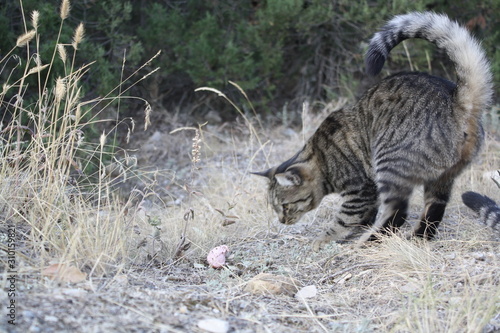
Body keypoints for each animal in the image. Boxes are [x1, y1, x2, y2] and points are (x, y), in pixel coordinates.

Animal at [254, 11, 492, 248]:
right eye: (276, 208)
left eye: (284, 206)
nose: (282, 220)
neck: (321, 158)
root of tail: (457, 102)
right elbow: (365, 215)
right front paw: (358, 228)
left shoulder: (361, 189)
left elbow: (344, 219)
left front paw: (324, 239)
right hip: (441, 179)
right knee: (434, 208)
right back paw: (417, 238)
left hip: (389, 164)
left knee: (397, 212)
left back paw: (367, 242)